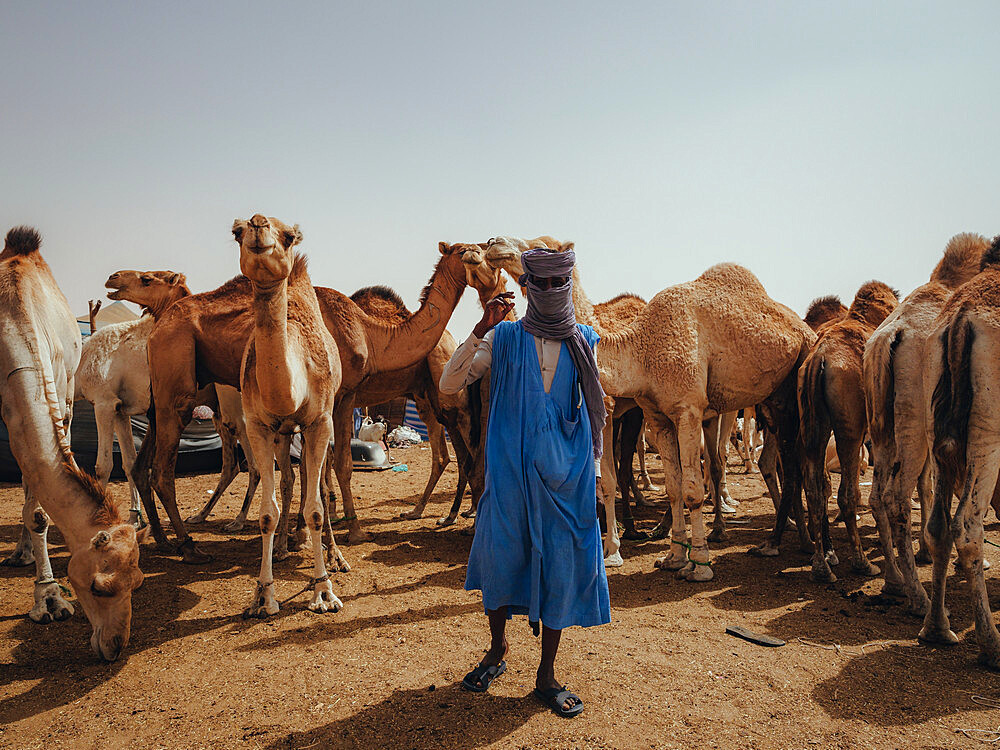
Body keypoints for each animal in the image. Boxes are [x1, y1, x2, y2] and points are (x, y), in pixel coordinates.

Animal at [0, 226, 146, 660]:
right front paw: (47, 596)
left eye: (138, 583)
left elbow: (41, 508)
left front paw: (48, 596)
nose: (115, 646)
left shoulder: (63, 394)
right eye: (98, 586)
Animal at [231, 216, 344, 616]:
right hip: (284, 432)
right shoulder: (258, 426)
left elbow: (317, 506)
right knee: (291, 480)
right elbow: (267, 513)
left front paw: (323, 591)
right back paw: (283, 546)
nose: (257, 223)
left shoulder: (319, 421)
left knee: (322, 485)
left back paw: (334, 555)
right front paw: (263, 595)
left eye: (290, 236)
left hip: (325, 423)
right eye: (236, 232)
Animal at [796, 280, 900, 580]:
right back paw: (862, 562)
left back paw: (822, 566)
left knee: (816, 489)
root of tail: (818, 360)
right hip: (849, 427)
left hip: (813, 425)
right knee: (846, 494)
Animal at [860, 234, 992, 616]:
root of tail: (889, 338)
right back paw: (920, 599)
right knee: (897, 498)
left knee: (878, 495)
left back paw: (894, 581)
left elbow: (929, 487)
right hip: (916, 425)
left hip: (885, 428)